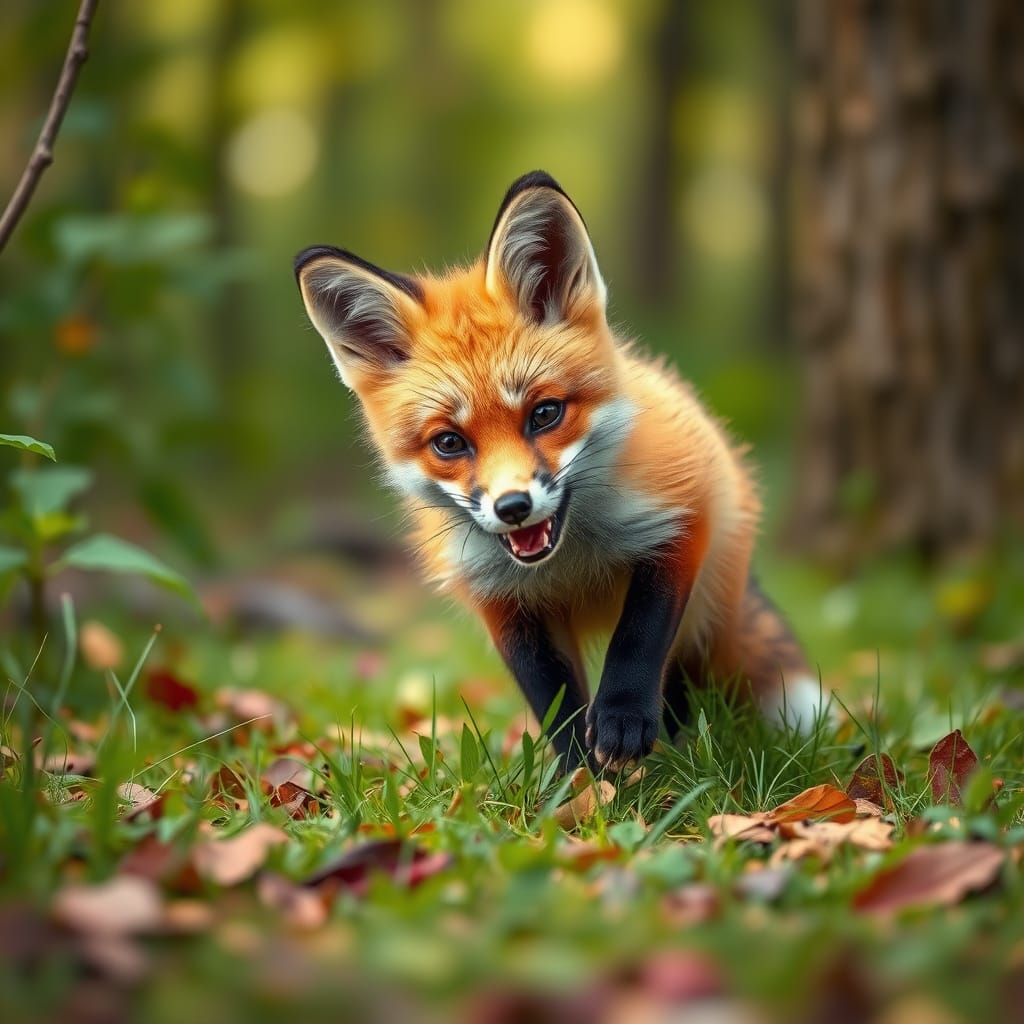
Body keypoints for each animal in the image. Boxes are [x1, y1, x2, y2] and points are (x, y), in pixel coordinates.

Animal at [294, 171, 823, 770]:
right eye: (449, 442)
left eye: (544, 414)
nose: (512, 507)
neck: (571, 559)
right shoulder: (502, 602)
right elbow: (554, 702)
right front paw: (581, 778)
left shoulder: (682, 516)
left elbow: (638, 638)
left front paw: (622, 721)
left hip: (706, 604)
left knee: (682, 678)